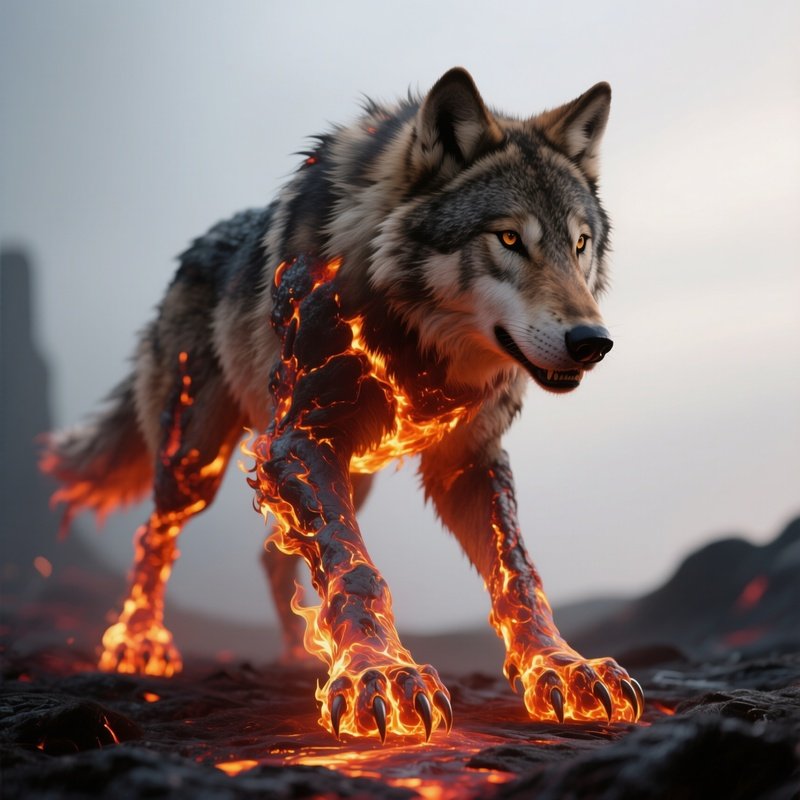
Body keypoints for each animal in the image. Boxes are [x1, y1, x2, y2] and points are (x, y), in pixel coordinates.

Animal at [43, 67, 643, 741]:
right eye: (509, 238)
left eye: (581, 244)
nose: (594, 343)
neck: (420, 345)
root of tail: (188, 255)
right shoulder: (297, 440)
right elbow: (356, 568)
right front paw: (377, 673)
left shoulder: (467, 460)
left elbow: (520, 575)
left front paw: (561, 667)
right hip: (195, 460)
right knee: (155, 534)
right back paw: (138, 642)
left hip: (356, 472)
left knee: (272, 555)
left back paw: (298, 656)